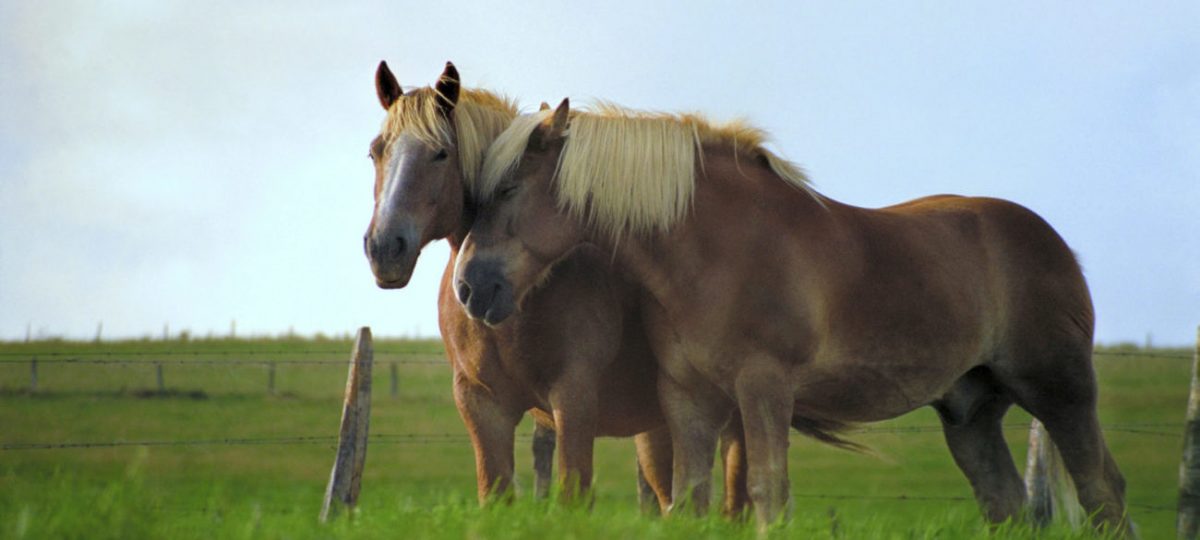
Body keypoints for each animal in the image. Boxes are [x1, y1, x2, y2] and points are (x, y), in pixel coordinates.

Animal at [453, 97, 1128, 530]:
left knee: (1103, 491)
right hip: (971, 413)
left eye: (508, 189)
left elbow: (765, 492)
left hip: (1061, 391)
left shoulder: (764, 388)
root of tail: (1053, 242)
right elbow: (690, 498)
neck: (719, 249)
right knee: (1006, 503)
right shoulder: (687, 398)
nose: (468, 287)